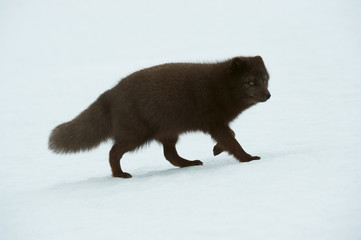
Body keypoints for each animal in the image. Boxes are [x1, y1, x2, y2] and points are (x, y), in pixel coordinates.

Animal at [50, 55, 270, 176]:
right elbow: (234, 142)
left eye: (266, 79)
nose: (268, 95)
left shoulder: (216, 124)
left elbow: (231, 136)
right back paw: (119, 175)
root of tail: (110, 93)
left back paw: (189, 163)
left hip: (168, 132)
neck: (220, 87)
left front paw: (217, 149)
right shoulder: (215, 124)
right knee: (113, 152)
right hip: (136, 136)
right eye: (251, 82)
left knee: (169, 155)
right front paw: (248, 158)